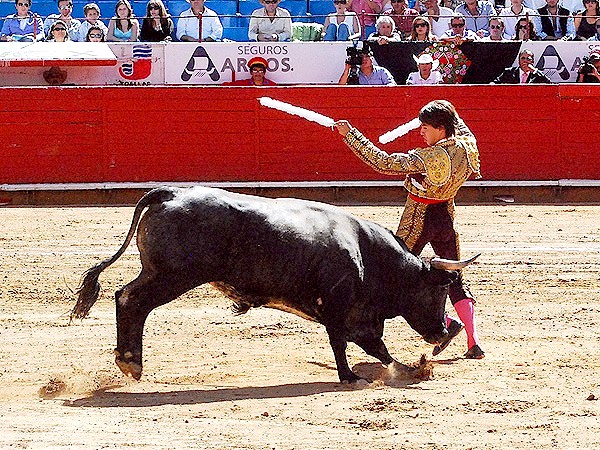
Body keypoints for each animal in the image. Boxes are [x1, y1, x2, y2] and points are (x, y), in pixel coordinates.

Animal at [71, 186, 474, 384]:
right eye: (439, 290)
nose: (443, 332)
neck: (367, 252)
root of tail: (169, 193)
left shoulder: (356, 316)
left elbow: (376, 347)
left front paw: (409, 368)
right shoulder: (340, 309)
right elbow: (351, 344)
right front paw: (354, 377)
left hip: (160, 274)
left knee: (126, 298)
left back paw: (129, 362)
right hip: (171, 276)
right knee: (131, 301)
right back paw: (131, 363)